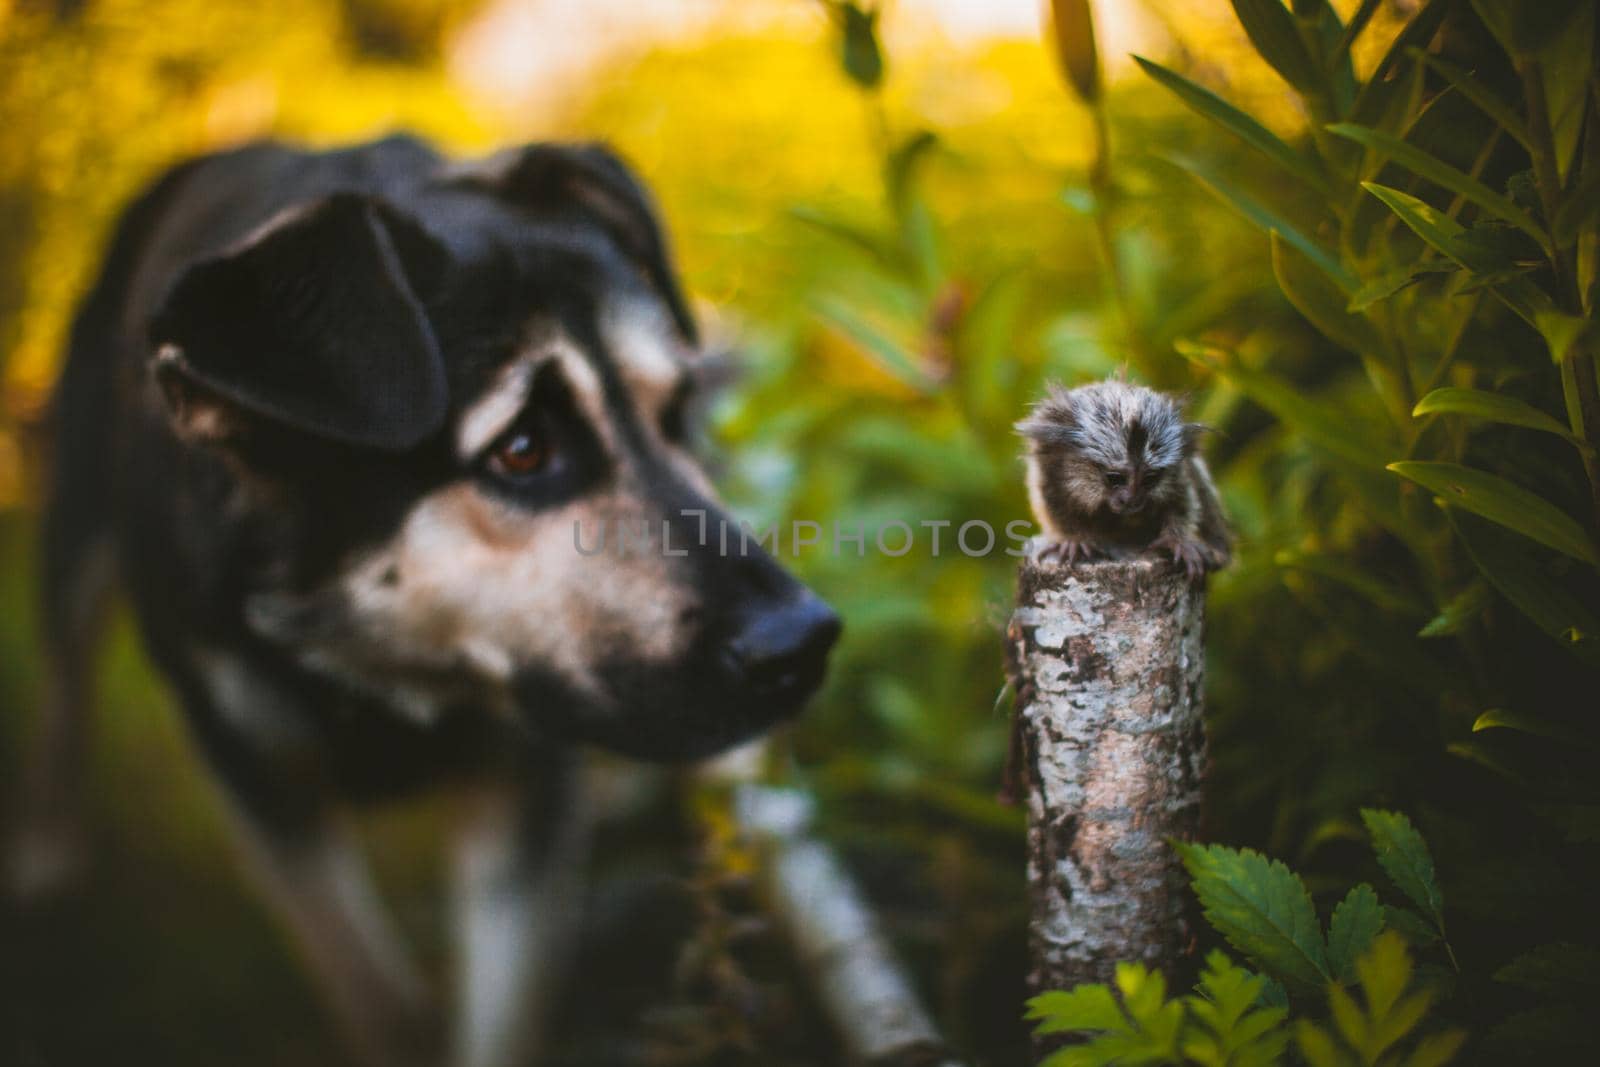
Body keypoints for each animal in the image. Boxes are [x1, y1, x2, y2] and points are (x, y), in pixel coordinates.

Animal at [18, 135, 844, 1067]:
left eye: (676, 412)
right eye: (522, 449)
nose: (805, 642)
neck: (377, 644)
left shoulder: (524, 790)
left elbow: (505, 1014)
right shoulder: (262, 785)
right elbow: (375, 995)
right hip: (77, 522)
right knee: (64, 670)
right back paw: (45, 855)